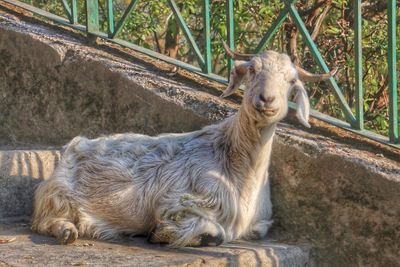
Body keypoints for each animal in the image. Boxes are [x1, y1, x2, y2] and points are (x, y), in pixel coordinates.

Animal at [31, 45, 332, 248]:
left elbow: (251, 232)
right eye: (252, 70)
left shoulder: (258, 223)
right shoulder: (179, 200)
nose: (266, 99)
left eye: (291, 80)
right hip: (58, 194)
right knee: (44, 220)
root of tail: (74, 145)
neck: (230, 159)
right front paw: (162, 233)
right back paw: (66, 232)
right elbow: (217, 233)